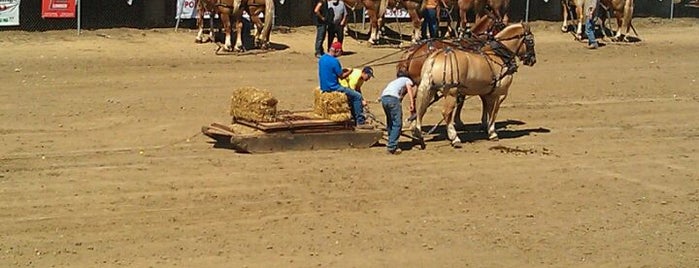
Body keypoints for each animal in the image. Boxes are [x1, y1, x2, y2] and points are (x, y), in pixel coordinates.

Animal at [412, 23, 540, 148]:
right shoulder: (500, 93)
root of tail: (436, 56)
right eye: (531, 41)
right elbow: (494, 112)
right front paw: (492, 133)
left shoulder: (487, 92)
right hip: (451, 93)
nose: (532, 60)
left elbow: (487, 109)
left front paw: (485, 127)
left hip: (431, 89)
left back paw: (418, 134)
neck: (498, 55)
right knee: (446, 113)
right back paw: (455, 138)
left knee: (421, 110)